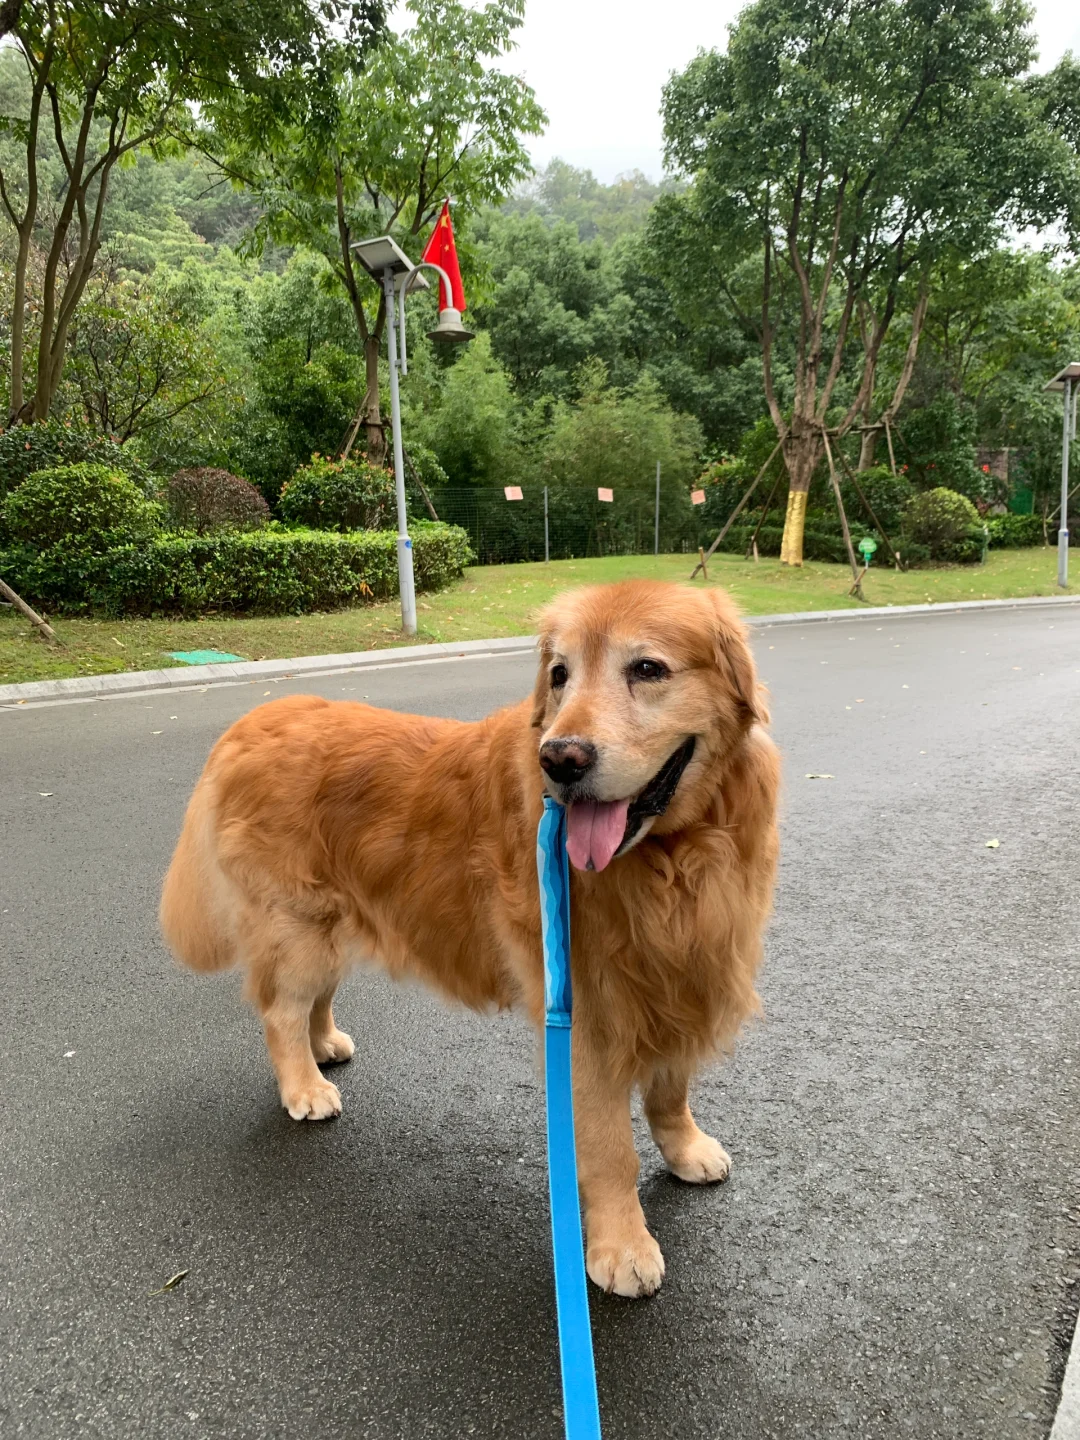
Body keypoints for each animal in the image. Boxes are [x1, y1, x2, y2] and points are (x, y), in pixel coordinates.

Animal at [160, 578, 783, 1301]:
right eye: (559, 675)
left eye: (648, 669)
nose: (559, 760)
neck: (675, 856)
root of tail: (253, 718)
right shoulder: (588, 1017)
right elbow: (609, 1149)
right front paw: (621, 1247)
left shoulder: (681, 975)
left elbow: (669, 1089)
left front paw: (684, 1148)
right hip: (297, 927)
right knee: (279, 1012)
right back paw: (303, 1085)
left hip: (336, 923)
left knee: (313, 1000)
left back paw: (324, 1046)